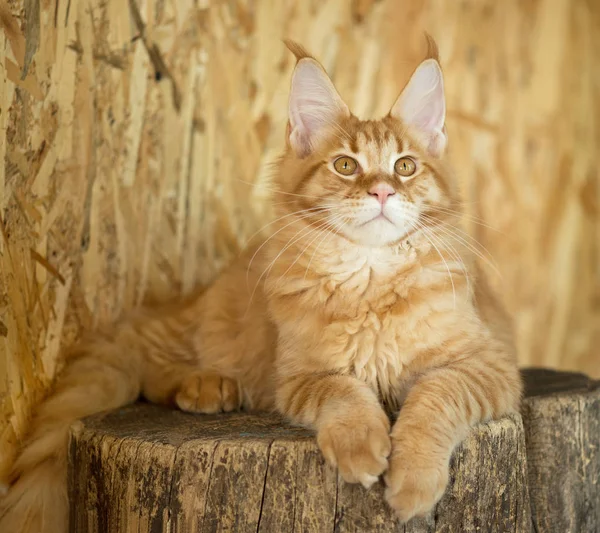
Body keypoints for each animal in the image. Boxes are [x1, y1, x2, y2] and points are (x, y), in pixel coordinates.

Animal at [0, 39, 520, 528]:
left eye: (405, 167)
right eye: (346, 166)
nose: (382, 191)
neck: (370, 278)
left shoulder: (489, 365)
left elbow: (434, 397)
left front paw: (414, 480)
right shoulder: (300, 376)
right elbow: (346, 393)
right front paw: (361, 445)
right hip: (211, 327)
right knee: (145, 356)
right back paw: (206, 384)